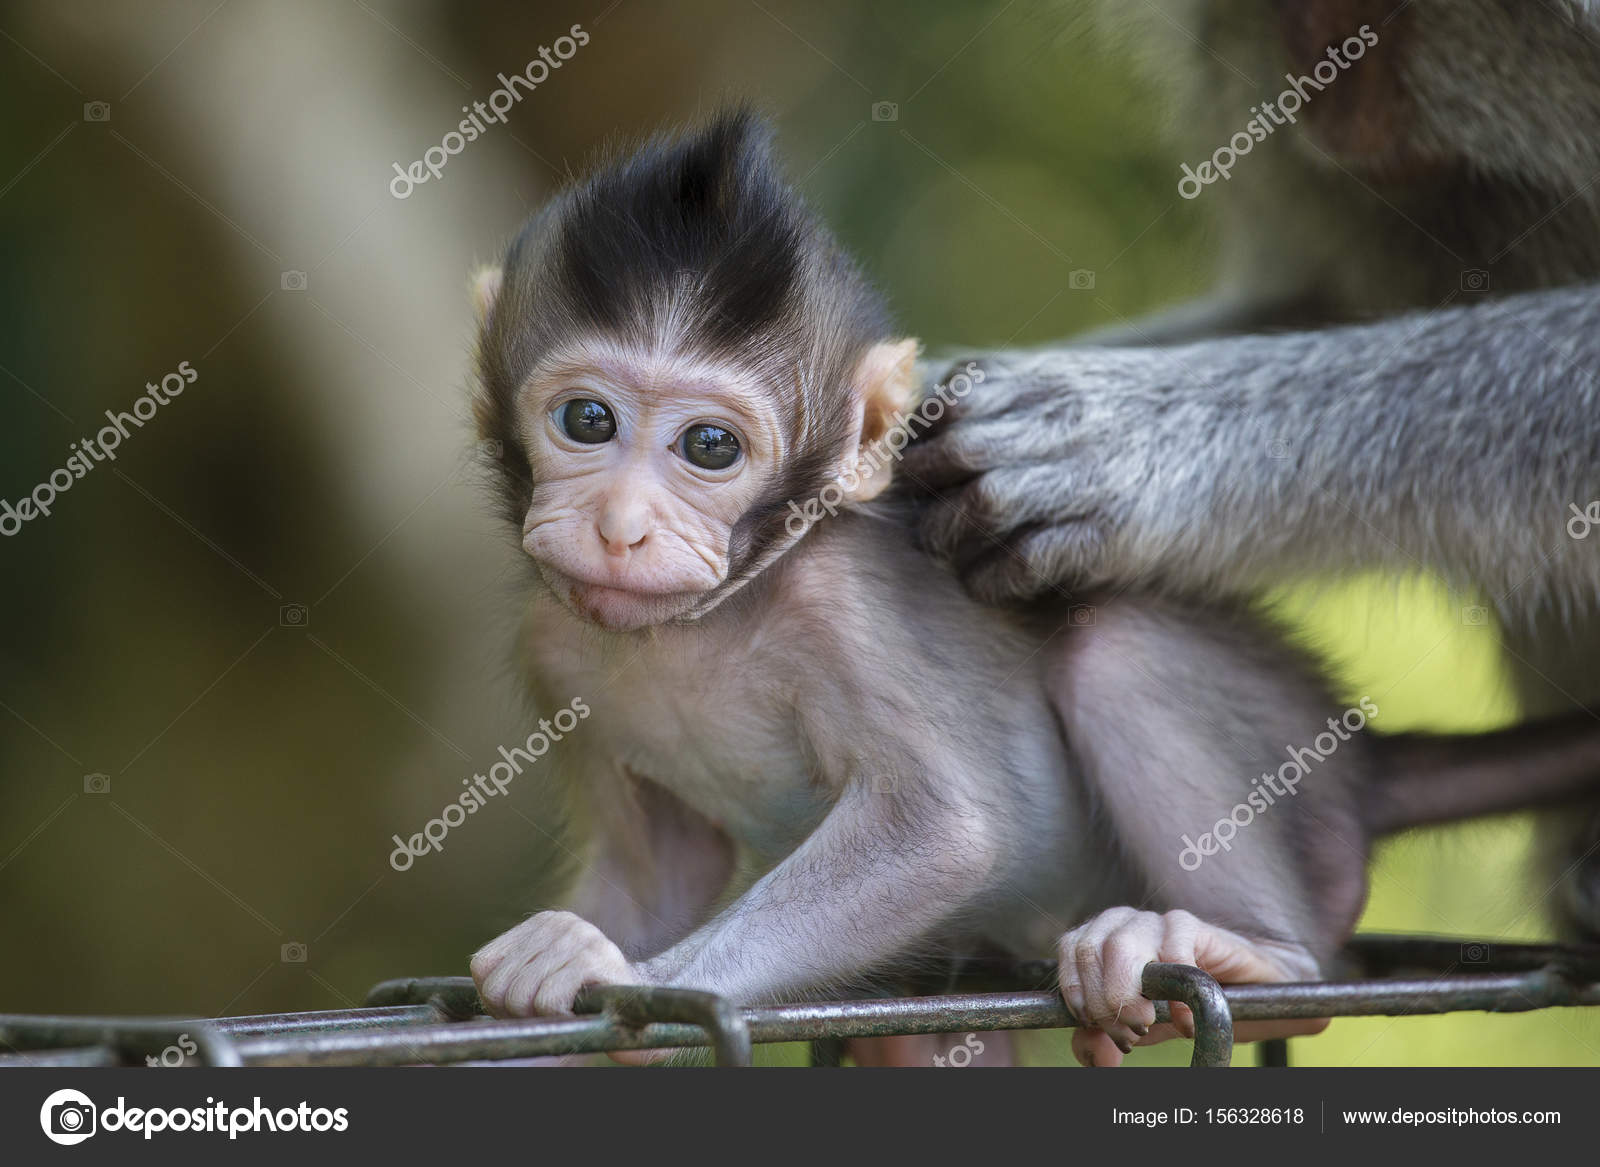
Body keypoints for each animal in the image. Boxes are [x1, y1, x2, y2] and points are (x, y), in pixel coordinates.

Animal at [467, 111, 1600, 1062]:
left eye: (709, 446)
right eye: (587, 422)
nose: (620, 526)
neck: (705, 621)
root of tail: (1361, 764)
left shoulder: (838, 612)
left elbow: (942, 832)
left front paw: (627, 970)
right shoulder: (548, 645)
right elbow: (663, 871)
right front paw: (561, 958)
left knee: (1121, 655)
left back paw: (1263, 954)